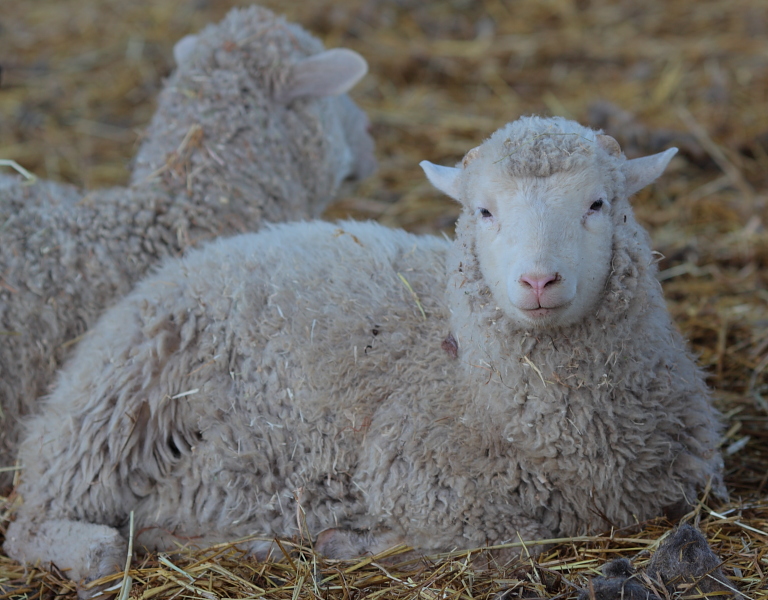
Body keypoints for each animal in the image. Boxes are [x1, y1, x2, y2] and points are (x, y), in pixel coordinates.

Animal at [6, 115, 724, 588]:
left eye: (599, 204)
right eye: (484, 211)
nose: (539, 281)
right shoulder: (425, 486)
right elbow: (491, 544)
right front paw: (345, 541)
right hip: (110, 403)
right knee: (33, 523)